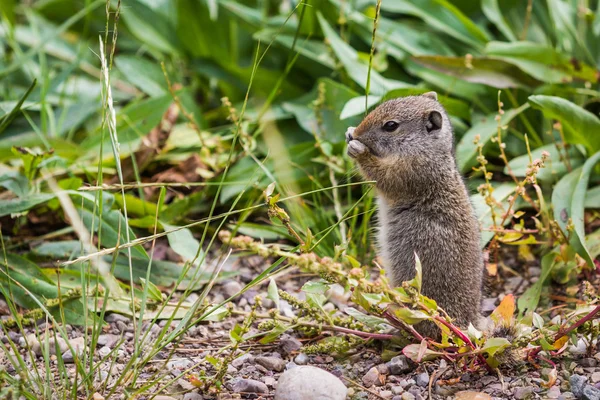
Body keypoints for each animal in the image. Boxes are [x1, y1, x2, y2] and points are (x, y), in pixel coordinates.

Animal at [346, 92, 482, 336]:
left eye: (391, 125)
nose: (358, 133)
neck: (425, 148)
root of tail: (468, 324)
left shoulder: (409, 171)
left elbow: (380, 174)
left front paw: (358, 149)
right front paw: (350, 132)